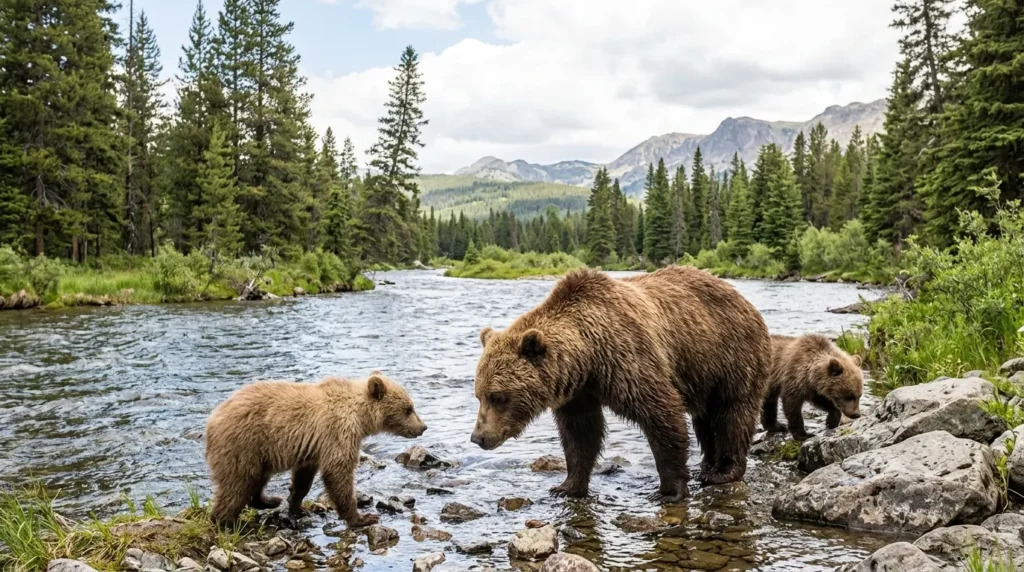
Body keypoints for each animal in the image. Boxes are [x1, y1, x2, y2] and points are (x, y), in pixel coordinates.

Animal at [205, 371, 426, 526]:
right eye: (409, 409)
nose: (423, 427)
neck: (360, 417)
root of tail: (212, 420)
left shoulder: (311, 449)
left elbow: (303, 479)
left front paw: (296, 506)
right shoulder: (338, 432)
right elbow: (338, 472)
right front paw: (362, 518)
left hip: (259, 453)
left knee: (257, 478)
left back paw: (269, 500)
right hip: (243, 444)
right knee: (237, 483)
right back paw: (226, 521)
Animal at [470, 266, 771, 501]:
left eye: (498, 396)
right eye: (478, 395)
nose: (478, 437)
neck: (588, 356)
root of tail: (743, 298)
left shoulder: (628, 360)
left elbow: (661, 414)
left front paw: (670, 489)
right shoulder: (578, 392)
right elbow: (580, 434)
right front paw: (567, 486)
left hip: (730, 355)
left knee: (733, 414)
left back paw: (723, 472)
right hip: (704, 372)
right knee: (705, 419)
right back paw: (706, 465)